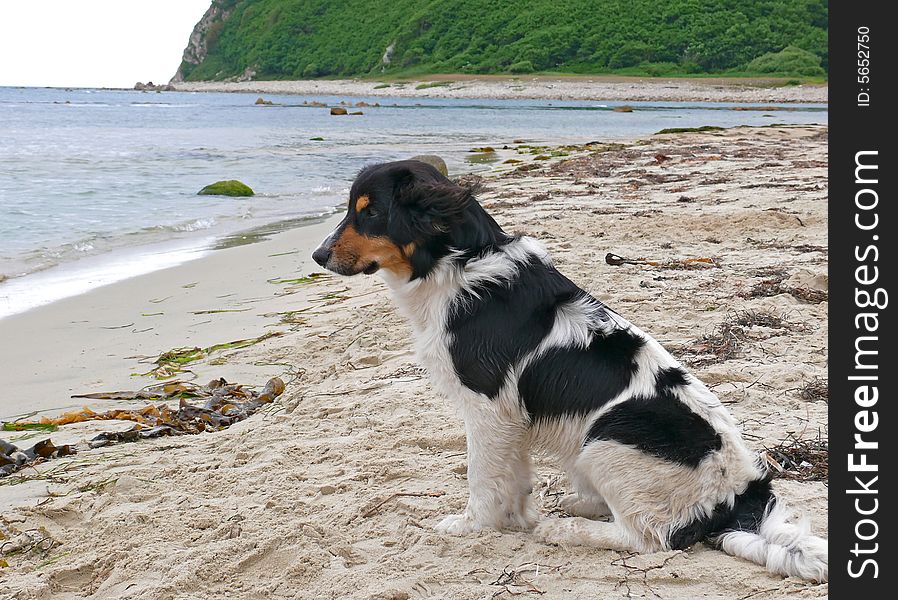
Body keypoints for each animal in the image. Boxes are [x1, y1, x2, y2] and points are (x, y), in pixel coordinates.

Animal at [314, 159, 824, 580]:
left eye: (371, 213)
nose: (318, 256)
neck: (456, 264)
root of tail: (739, 496)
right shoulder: (511, 416)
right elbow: (513, 477)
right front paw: (514, 519)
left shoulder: (486, 405)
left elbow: (481, 477)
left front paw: (472, 526)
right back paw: (576, 506)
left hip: (604, 440)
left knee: (649, 538)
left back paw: (564, 531)